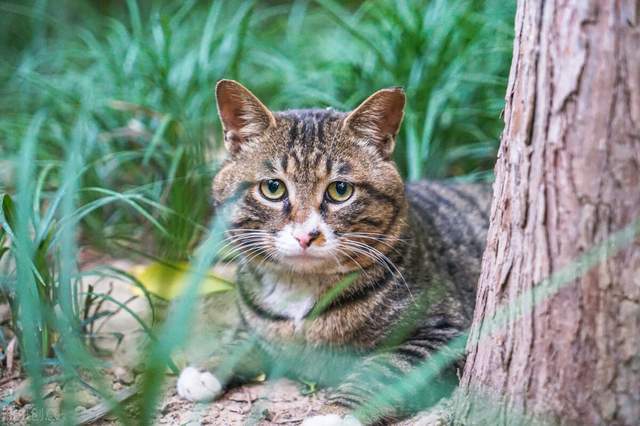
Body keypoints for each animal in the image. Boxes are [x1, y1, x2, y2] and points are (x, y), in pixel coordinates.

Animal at [175, 80, 490, 426]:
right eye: (273, 188)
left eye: (340, 191)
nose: (305, 235)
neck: (300, 291)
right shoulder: (260, 330)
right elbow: (240, 340)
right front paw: (204, 368)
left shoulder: (443, 334)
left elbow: (381, 370)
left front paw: (335, 414)